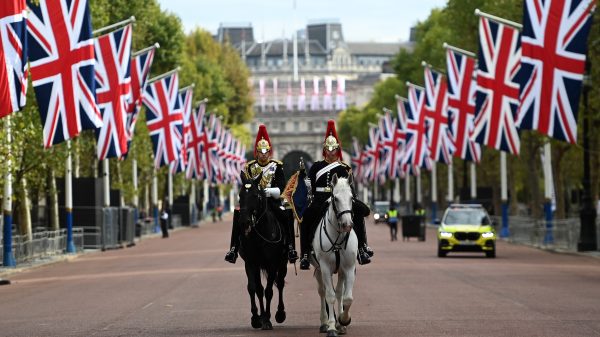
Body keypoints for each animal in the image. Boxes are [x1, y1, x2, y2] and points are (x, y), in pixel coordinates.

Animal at [237, 173, 288, 328]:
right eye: (240, 195)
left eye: (255, 195)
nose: (244, 222)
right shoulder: (251, 263)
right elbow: (254, 288)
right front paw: (256, 318)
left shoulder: (272, 264)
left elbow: (269, 291)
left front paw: (267, 319)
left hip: (282, 263)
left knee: (280, 284)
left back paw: (280, 313)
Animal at [310, 173, 356, 336]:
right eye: (335, 198)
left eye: (351, 198)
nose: (347, 225)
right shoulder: (324, 267)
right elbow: (329, 296)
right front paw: (331, 326)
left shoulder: (349, 268)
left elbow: (347, 297)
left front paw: (343, 320)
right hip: (318, 269)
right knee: (323, 292)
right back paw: (324, 322)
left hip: (341, 271)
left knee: (339, 293)